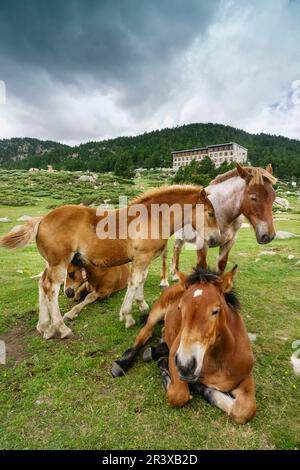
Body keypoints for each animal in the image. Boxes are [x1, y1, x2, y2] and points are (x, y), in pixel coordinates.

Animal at [0, 185, 220, 340]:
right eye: (210, 213)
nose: (216, 239)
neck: (153, 218)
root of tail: (42, 219)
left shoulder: (145, 258)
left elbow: (140, 281)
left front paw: (142, 305)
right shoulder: (141, 257)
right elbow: (134, 283)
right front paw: (127, 316)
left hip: (51, 263)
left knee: (41, 284)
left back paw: (44, 326)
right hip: (59, 263)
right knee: (50, 289)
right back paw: (61, 328)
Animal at [112, 264, 255, 426]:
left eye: (216, 311)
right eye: (180, 308)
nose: (185, 365)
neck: (219, 358)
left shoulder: (245, 376)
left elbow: (245, 410)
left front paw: (201, 387)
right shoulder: (176, 357)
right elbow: (177, 395)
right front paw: (166, 368)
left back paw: (155, 350)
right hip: (155, 315)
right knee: (144, 334)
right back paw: (122, 364)